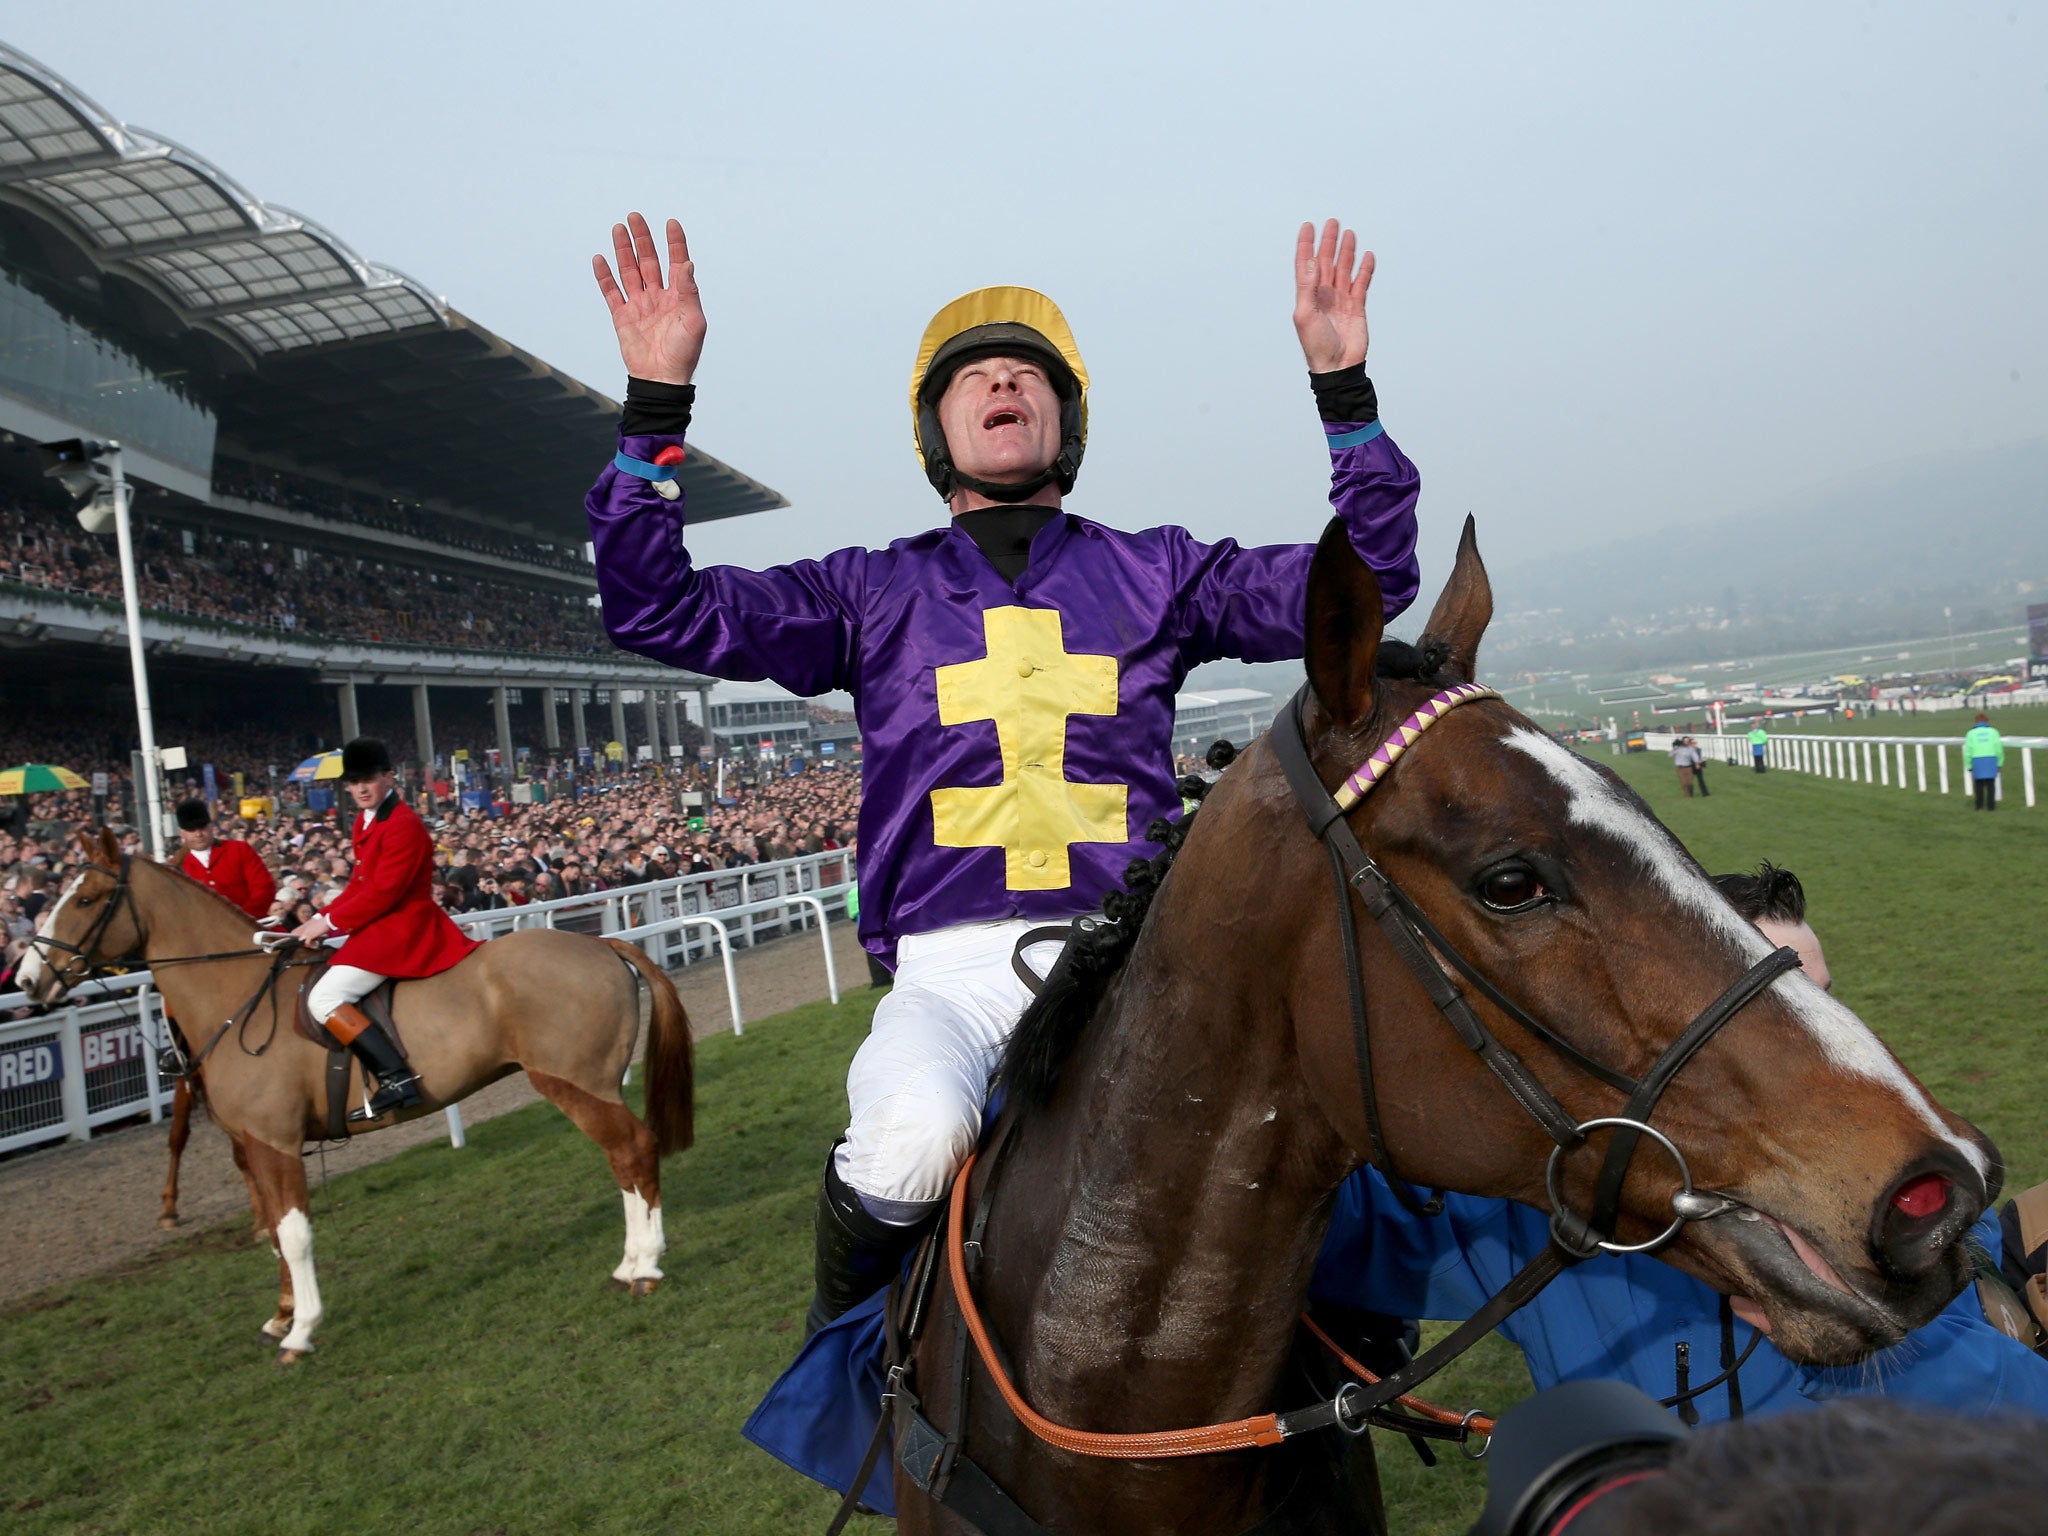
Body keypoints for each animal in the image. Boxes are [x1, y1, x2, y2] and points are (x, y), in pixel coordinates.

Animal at [14, 843, 696, 1368]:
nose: (26, 980)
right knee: (624, 1159)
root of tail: (604, 946)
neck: (237, 995)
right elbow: (271, 1230)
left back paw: (645, 1267)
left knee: (633, 1150)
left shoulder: (274, 1141)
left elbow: (293, 1234)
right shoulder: (252, 1146)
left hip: (573, 1085)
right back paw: (631, 1262)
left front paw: (300, 1331)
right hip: (592, 1086)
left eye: (84, 900)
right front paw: (282, 1314)